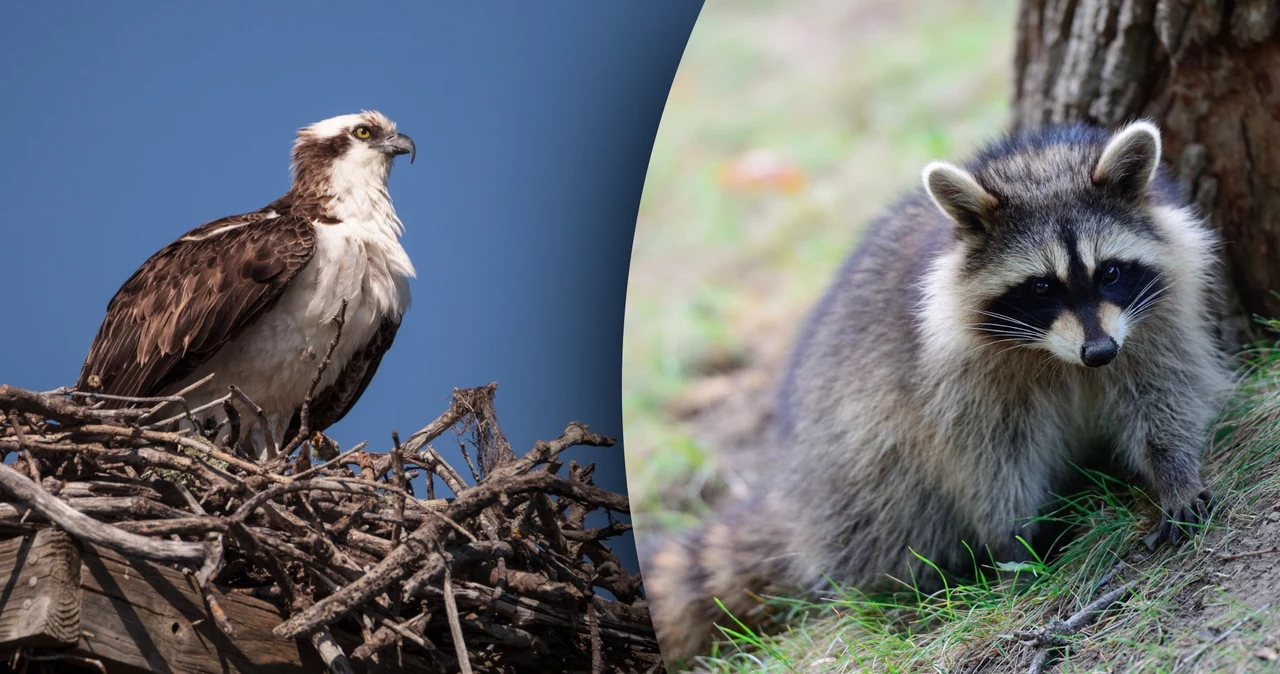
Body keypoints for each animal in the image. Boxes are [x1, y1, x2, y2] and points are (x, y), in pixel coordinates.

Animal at [645, 122, 1233, 665]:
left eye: (1109, 271)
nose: (1099, 352)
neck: (1061, 357)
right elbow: (989, 458)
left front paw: (1174, 470)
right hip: (852, 461)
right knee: (890, 499)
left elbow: (1165, 393)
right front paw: (1014, 539)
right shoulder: (956, 377)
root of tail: (794, 500)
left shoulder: (1156, 319)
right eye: (1042, 287)